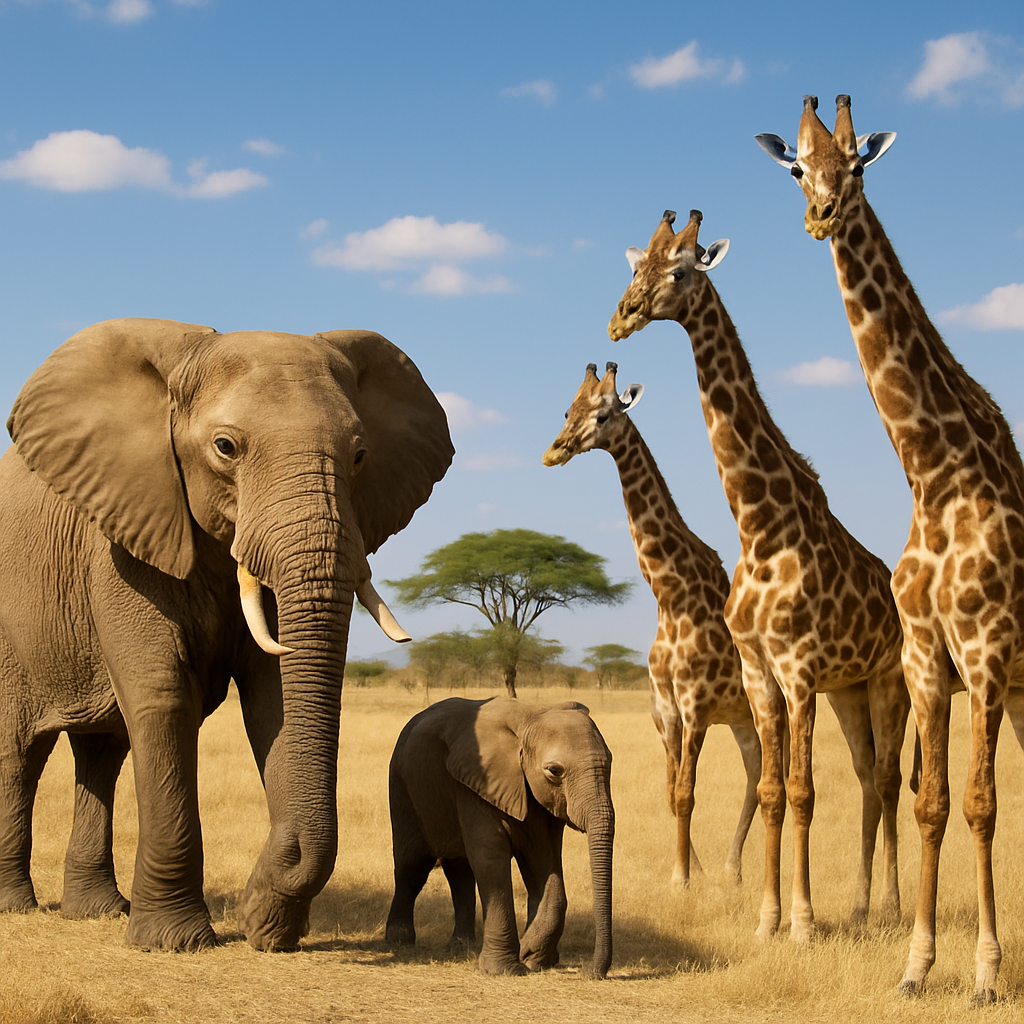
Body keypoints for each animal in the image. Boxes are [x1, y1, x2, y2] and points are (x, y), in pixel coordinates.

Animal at [0, 317, 453, 951]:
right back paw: (16, 906)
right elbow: (162, 697)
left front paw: (272, 929)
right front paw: (175, 942)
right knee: (18, 752)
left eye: (361, 455)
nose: (251, 903)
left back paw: (97, 912)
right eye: (225, 448)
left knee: (102, 748)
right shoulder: (119, 544)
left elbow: (277, 699)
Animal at [385, 697, 614, 977]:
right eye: (554, 770)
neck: (531, 717)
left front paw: (532, 957)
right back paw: (399, 941)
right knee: (413, 866)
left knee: (459, 870)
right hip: (401, 783)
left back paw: (462, 947)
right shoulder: (478, 780)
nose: (587, 971)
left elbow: (543, 861)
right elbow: (491, 857)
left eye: (611, 762)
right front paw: (506, 969)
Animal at [542, 361, 761, 887]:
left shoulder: (696, 705)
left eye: (604, 414)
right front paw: (690, 870)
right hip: (741, 718)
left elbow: (685, 790)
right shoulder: (664, 710)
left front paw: (681, 880)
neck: (670, 597)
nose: (554, 451)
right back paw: (731, 869)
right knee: (755, 777)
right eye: (567, 409)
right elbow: (671, 792)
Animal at [607, 209, 912, 943]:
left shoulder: (798, 669)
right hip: (849, 689)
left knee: (889, 779)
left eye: (680, 269)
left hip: (889, 679)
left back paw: (890, 906)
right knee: (867, 776)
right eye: (635, 266)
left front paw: (801, 921)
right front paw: (769, 919)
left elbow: (801, 791)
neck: (760, 527)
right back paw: (860, 905)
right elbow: (773, 790)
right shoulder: (760, 672)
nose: (621, 317)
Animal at [757, 93, 1024, 1002]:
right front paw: (916, 966)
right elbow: (933, 802)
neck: (937, 474)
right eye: (796, 166)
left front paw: (985, 975)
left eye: (858, 163)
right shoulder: (924, 655)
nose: (820, 215)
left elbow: (980, 803)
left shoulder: (985, 650)